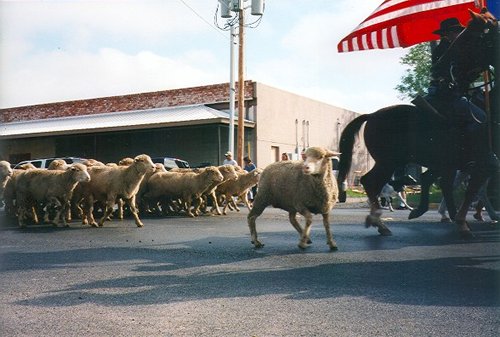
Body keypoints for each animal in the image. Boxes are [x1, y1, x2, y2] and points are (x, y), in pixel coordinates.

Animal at [338, 8, 498, 236]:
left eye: (468, 38)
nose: (440, 67)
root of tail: (372, 115)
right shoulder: (480, 162)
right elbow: (470, 189)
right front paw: (460, 221)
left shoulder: (459, 164)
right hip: (389, 161)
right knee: (371, 182)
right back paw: (380, 222)